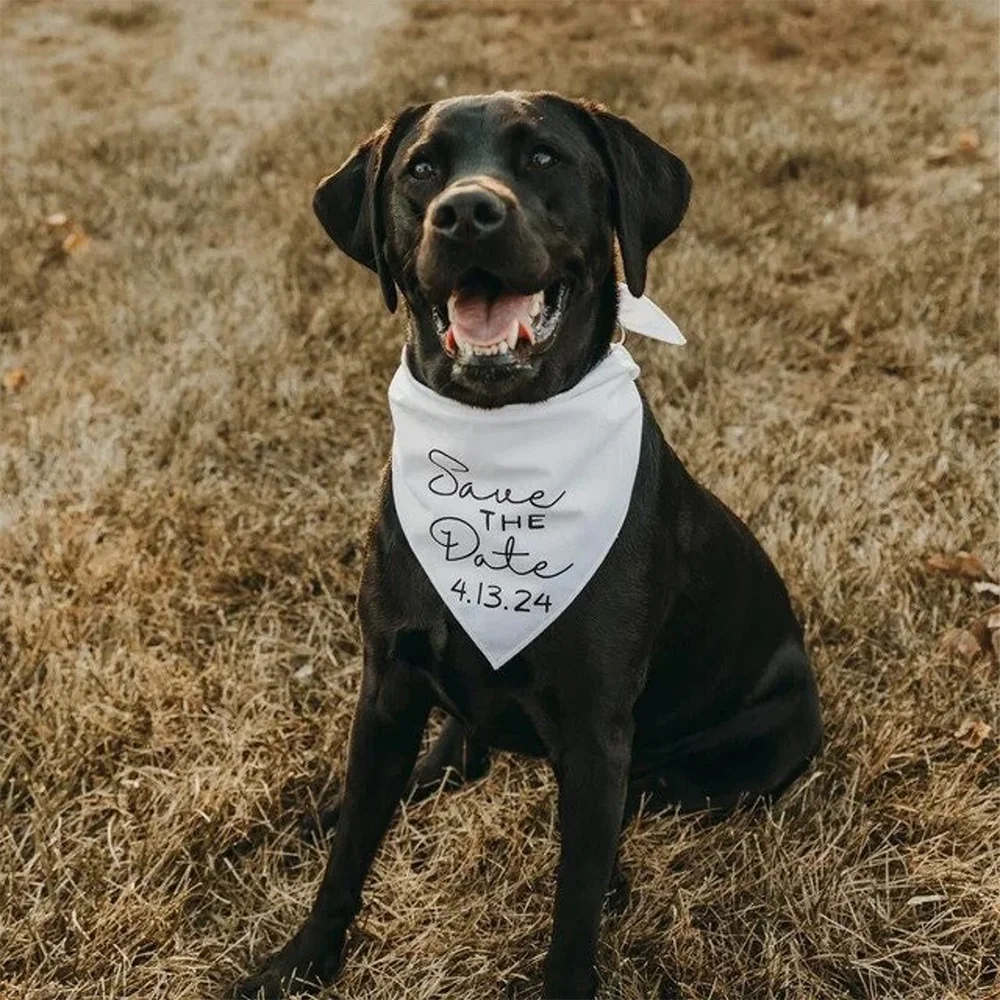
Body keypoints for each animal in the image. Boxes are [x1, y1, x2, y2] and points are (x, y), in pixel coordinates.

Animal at [232, 92, 820, 1000]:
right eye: (421, 169)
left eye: (544, 157)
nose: (467, 212)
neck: (498, 450)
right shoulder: (387, 686)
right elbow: (351, 853)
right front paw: (301, 960)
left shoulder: (594, 733)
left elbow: (572, 913)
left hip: (733, 759)